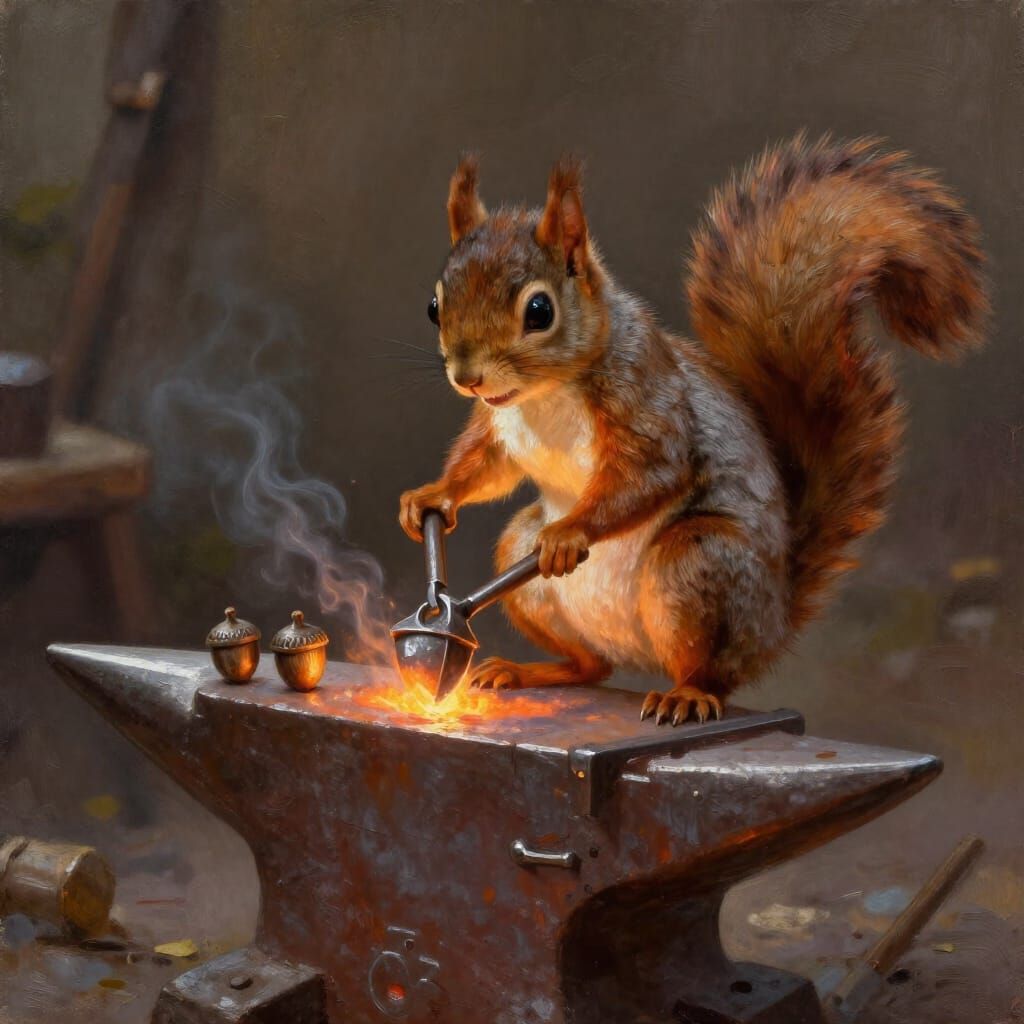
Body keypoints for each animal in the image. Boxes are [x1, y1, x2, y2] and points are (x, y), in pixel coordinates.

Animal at [399, 135, 988, 726]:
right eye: (433, 306)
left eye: (539, 311)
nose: (468, 377)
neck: (544, 394)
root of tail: (776, 621)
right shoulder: (499, 423)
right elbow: (485, 465)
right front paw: (431, 498)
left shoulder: (646, 395)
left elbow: (655, 471)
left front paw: (571, 532)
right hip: (530, 563)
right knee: (592, 666)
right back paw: (530, 671)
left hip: (695, 563)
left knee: (712, 672)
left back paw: (686, 694)